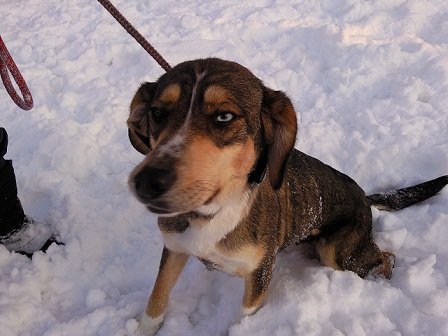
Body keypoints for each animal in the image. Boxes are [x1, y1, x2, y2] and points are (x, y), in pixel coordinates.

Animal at [127, 58, 448, 336]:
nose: (146, 183)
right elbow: (157, 298)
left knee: (386, 256)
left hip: (339, 253)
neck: (212, 213)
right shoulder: (174, 247)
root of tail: (364, 197)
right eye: (158, 113)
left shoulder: (260, 273)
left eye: (224, 116)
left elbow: (245, 319)